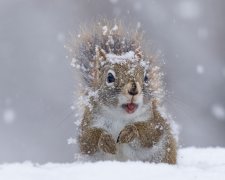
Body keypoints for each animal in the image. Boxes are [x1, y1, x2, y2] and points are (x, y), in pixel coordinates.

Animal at [67, 20, 178, 164]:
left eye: (146, 77)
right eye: (110, 78)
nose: (133, 89)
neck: (120, 117)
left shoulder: (156, 121)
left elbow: (151, 133)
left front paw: (131, 131)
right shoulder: (89, 122)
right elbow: (88, 140)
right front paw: (105, 140)